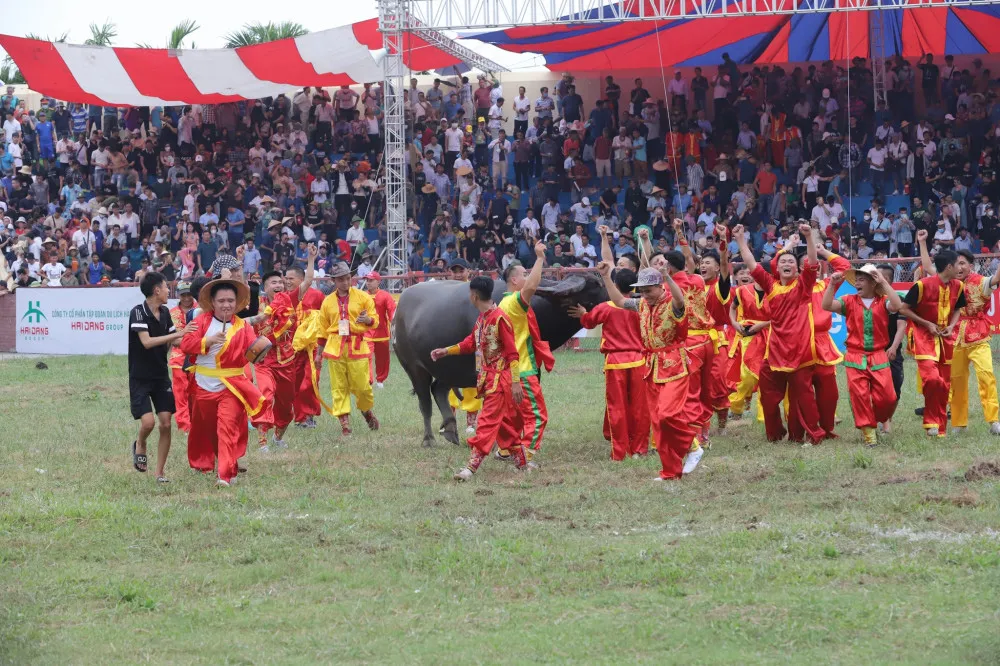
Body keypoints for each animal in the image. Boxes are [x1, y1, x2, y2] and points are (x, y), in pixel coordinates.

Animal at [394, 272, 604, 448]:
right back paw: (428, 439)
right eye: (595, 285)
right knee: (425, 402)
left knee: (438, 390)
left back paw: (451, 430)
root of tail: (398, 310)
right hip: (414, 367)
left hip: (449, 368)